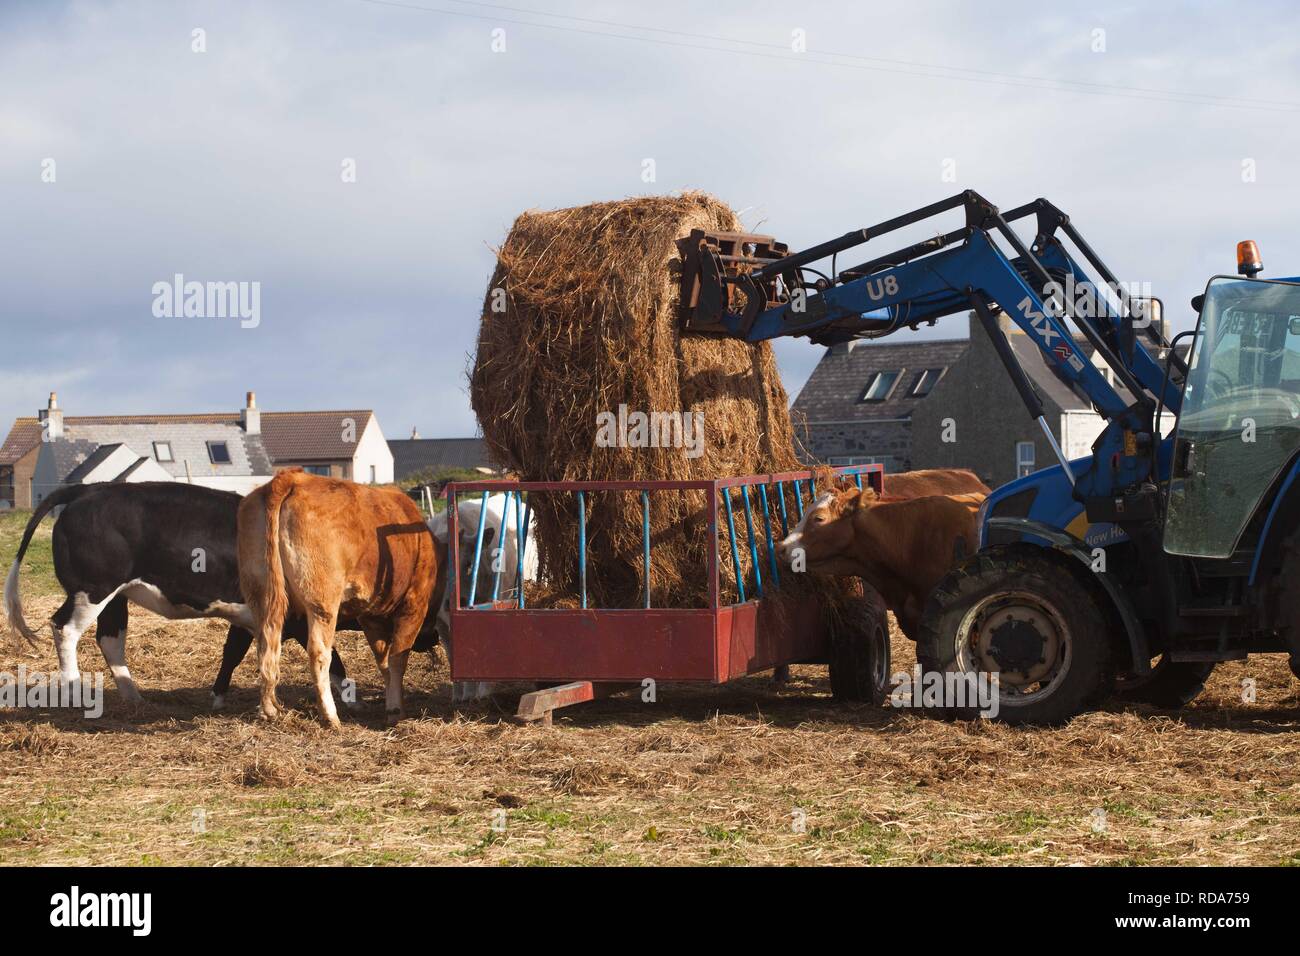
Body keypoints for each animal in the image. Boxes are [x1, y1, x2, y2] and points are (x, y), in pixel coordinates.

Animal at [1, 481, 351, 707]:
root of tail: (90, 488)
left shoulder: (248, 618)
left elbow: (235, 653)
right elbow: (330, 658)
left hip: (115, 597)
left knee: (110, 639)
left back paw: (133, 697)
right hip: (93, 589)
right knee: (65, 629)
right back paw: (74, 692)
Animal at [233, 468, 436, 723]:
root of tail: (292, 477)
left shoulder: (370, 616)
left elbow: (384, 661)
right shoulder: (414, 605)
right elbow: (398, 658)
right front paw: (396, 710)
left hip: (261, 595)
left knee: (266, 645)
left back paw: (270, 709)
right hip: (322, 603)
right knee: (319, 654)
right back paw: (330, 716)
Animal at [426, 494, 538, 702]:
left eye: (470, 563)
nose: (457, 601)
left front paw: (480, 692)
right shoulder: (441, 624)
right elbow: (454, 656)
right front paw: (459, 694)